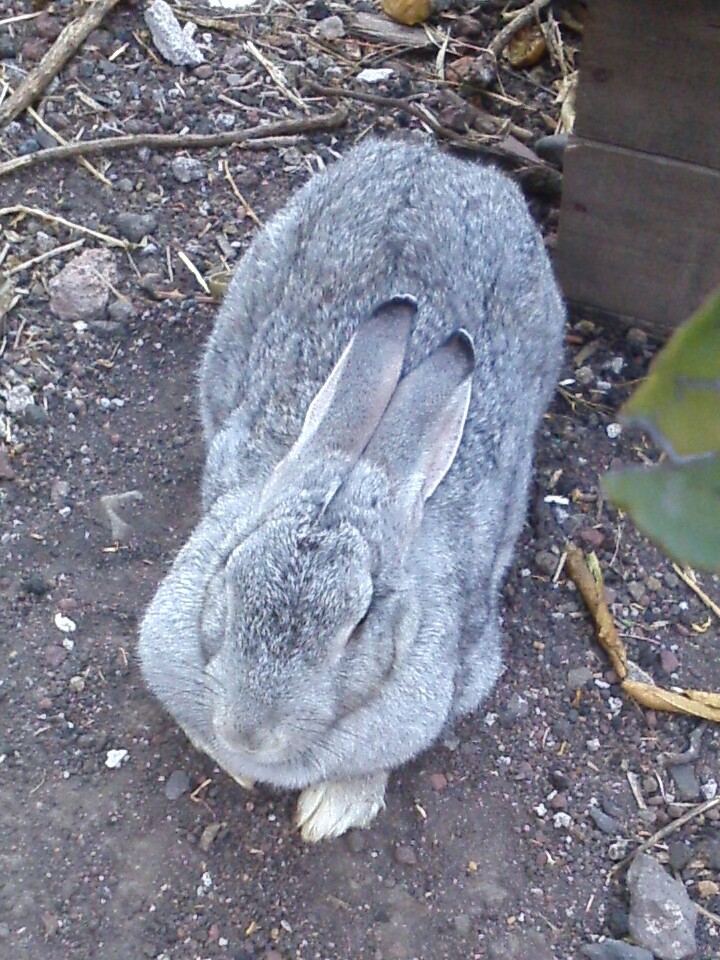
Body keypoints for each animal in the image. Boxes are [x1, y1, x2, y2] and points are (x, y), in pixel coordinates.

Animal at [138, 136, 565, 842]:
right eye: (230, 574)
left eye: (360, 624)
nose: (248, 734)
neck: (361, 462)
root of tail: (440, 161)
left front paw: (332, 810)